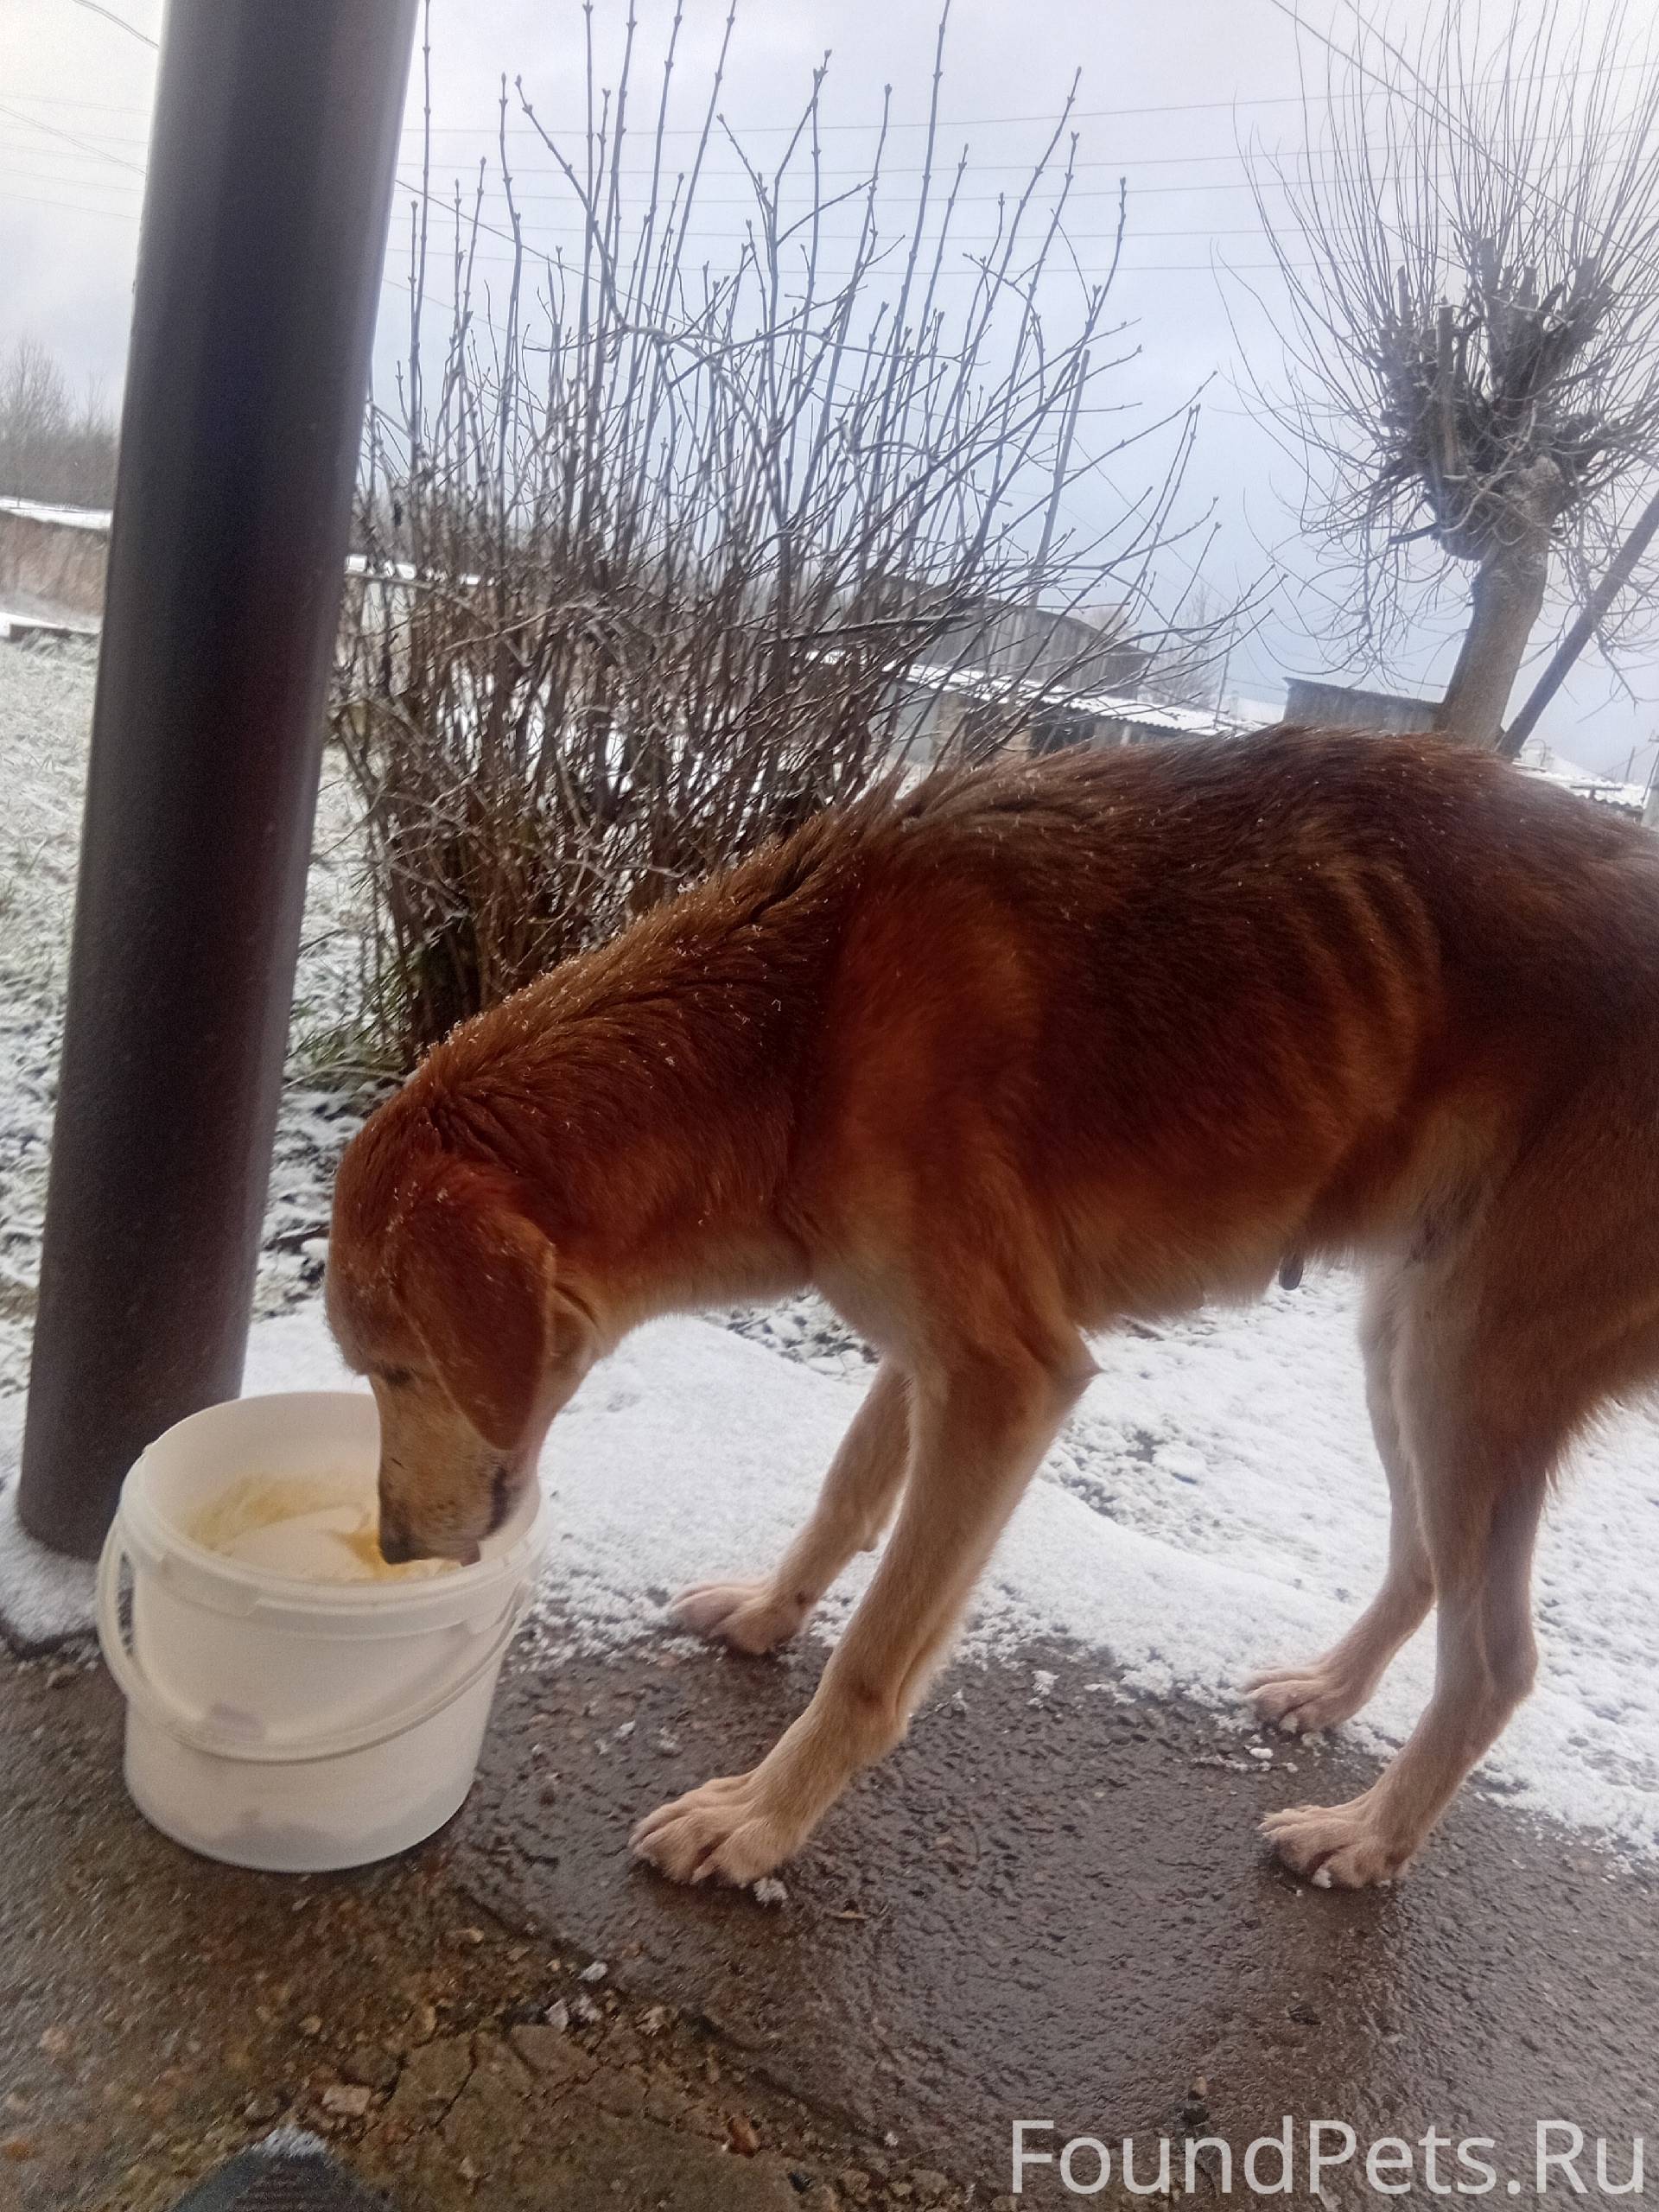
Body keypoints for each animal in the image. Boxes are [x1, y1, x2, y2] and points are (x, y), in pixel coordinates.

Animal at [326, 726, 1659, 1890]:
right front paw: (766, 1615)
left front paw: (757, 1824)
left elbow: (873, 1658)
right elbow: (843, 1496)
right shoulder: (929, 1353)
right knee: (1426, 1567)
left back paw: (1368, 1840)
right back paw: (1330, 1695)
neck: (798, 1041)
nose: (390, 1545)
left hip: (1462, 1369)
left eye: (395, 1369)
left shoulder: (1005, 1384)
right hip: (1401, 1341)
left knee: (1497, 1663)